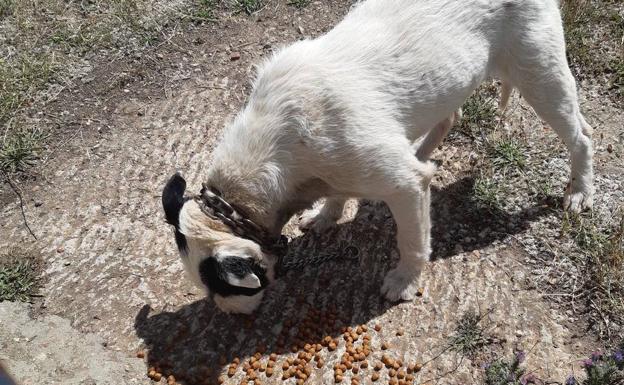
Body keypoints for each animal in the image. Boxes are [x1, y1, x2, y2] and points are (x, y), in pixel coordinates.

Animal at [162, 0, 596, 312]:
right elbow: (337, 194)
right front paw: (326, 215)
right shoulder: (340, 170)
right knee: (449, 117)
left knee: (583, 136)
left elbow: (412, 240)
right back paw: (422, 152)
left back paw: (580, 191)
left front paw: (405, 281)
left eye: (227, 289)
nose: (229, 316)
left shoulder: (404, 185)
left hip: (540, 77)